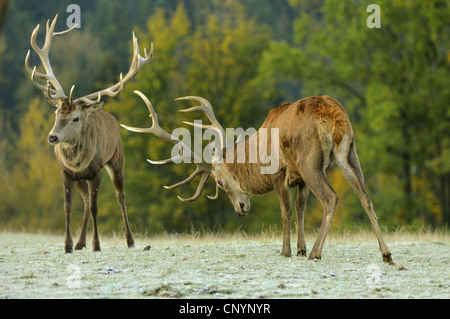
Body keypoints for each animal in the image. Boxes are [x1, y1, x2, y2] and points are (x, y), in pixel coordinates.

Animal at [26, 15, 153, 254]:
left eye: (76, 118)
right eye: (56, 113)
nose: (52, 137)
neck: (77, 163)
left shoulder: (95, 172)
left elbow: (96, 207)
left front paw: (97, 245)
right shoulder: (66, 172)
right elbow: (67, 207)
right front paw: (67, 245)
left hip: (117, 160)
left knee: (120, 196)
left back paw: (130, 240)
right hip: (81, 179)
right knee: (84, 202)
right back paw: (79, 243)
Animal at [121, 92, 392, 262]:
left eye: (219, 182)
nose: (240, 209)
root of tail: (335, 115)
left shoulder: (279, 173)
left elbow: (286, 211)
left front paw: (286, 251)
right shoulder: (299, 179)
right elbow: (300, 208)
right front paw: (300, 249)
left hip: (310, 161)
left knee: (331, 198)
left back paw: (317, 252)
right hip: (349, 153)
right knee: (365, 197)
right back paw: (386, 254)